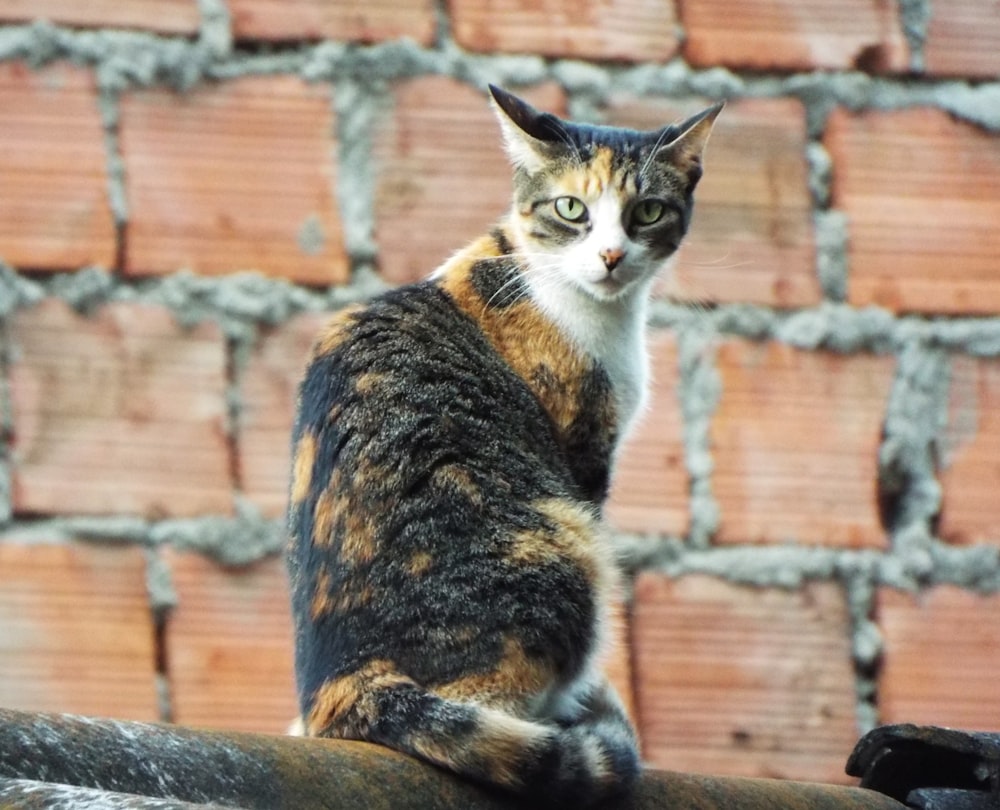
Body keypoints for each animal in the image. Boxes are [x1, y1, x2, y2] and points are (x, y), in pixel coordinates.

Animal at [286, 85, 724, 804]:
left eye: (648, 211)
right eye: (572, 209)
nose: (610, 257)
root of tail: (341, 684)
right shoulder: (584, 448)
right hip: (563, 544)